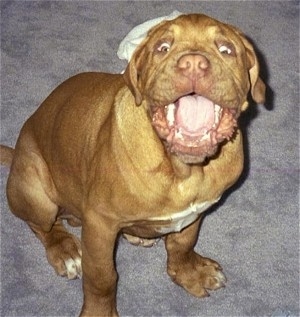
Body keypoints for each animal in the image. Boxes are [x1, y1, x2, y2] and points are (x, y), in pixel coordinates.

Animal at [0, 12, 264, 316]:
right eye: (162, 48)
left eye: (226, 50)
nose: (193, 64)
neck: (184, 170)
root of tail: (17, 154)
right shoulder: (99, 224)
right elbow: (102, 278)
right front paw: (99, 312)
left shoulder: (197, 210)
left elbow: (183, 242)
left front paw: (189, 272)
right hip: (36, 190)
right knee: (41, 225)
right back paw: (64, 250)